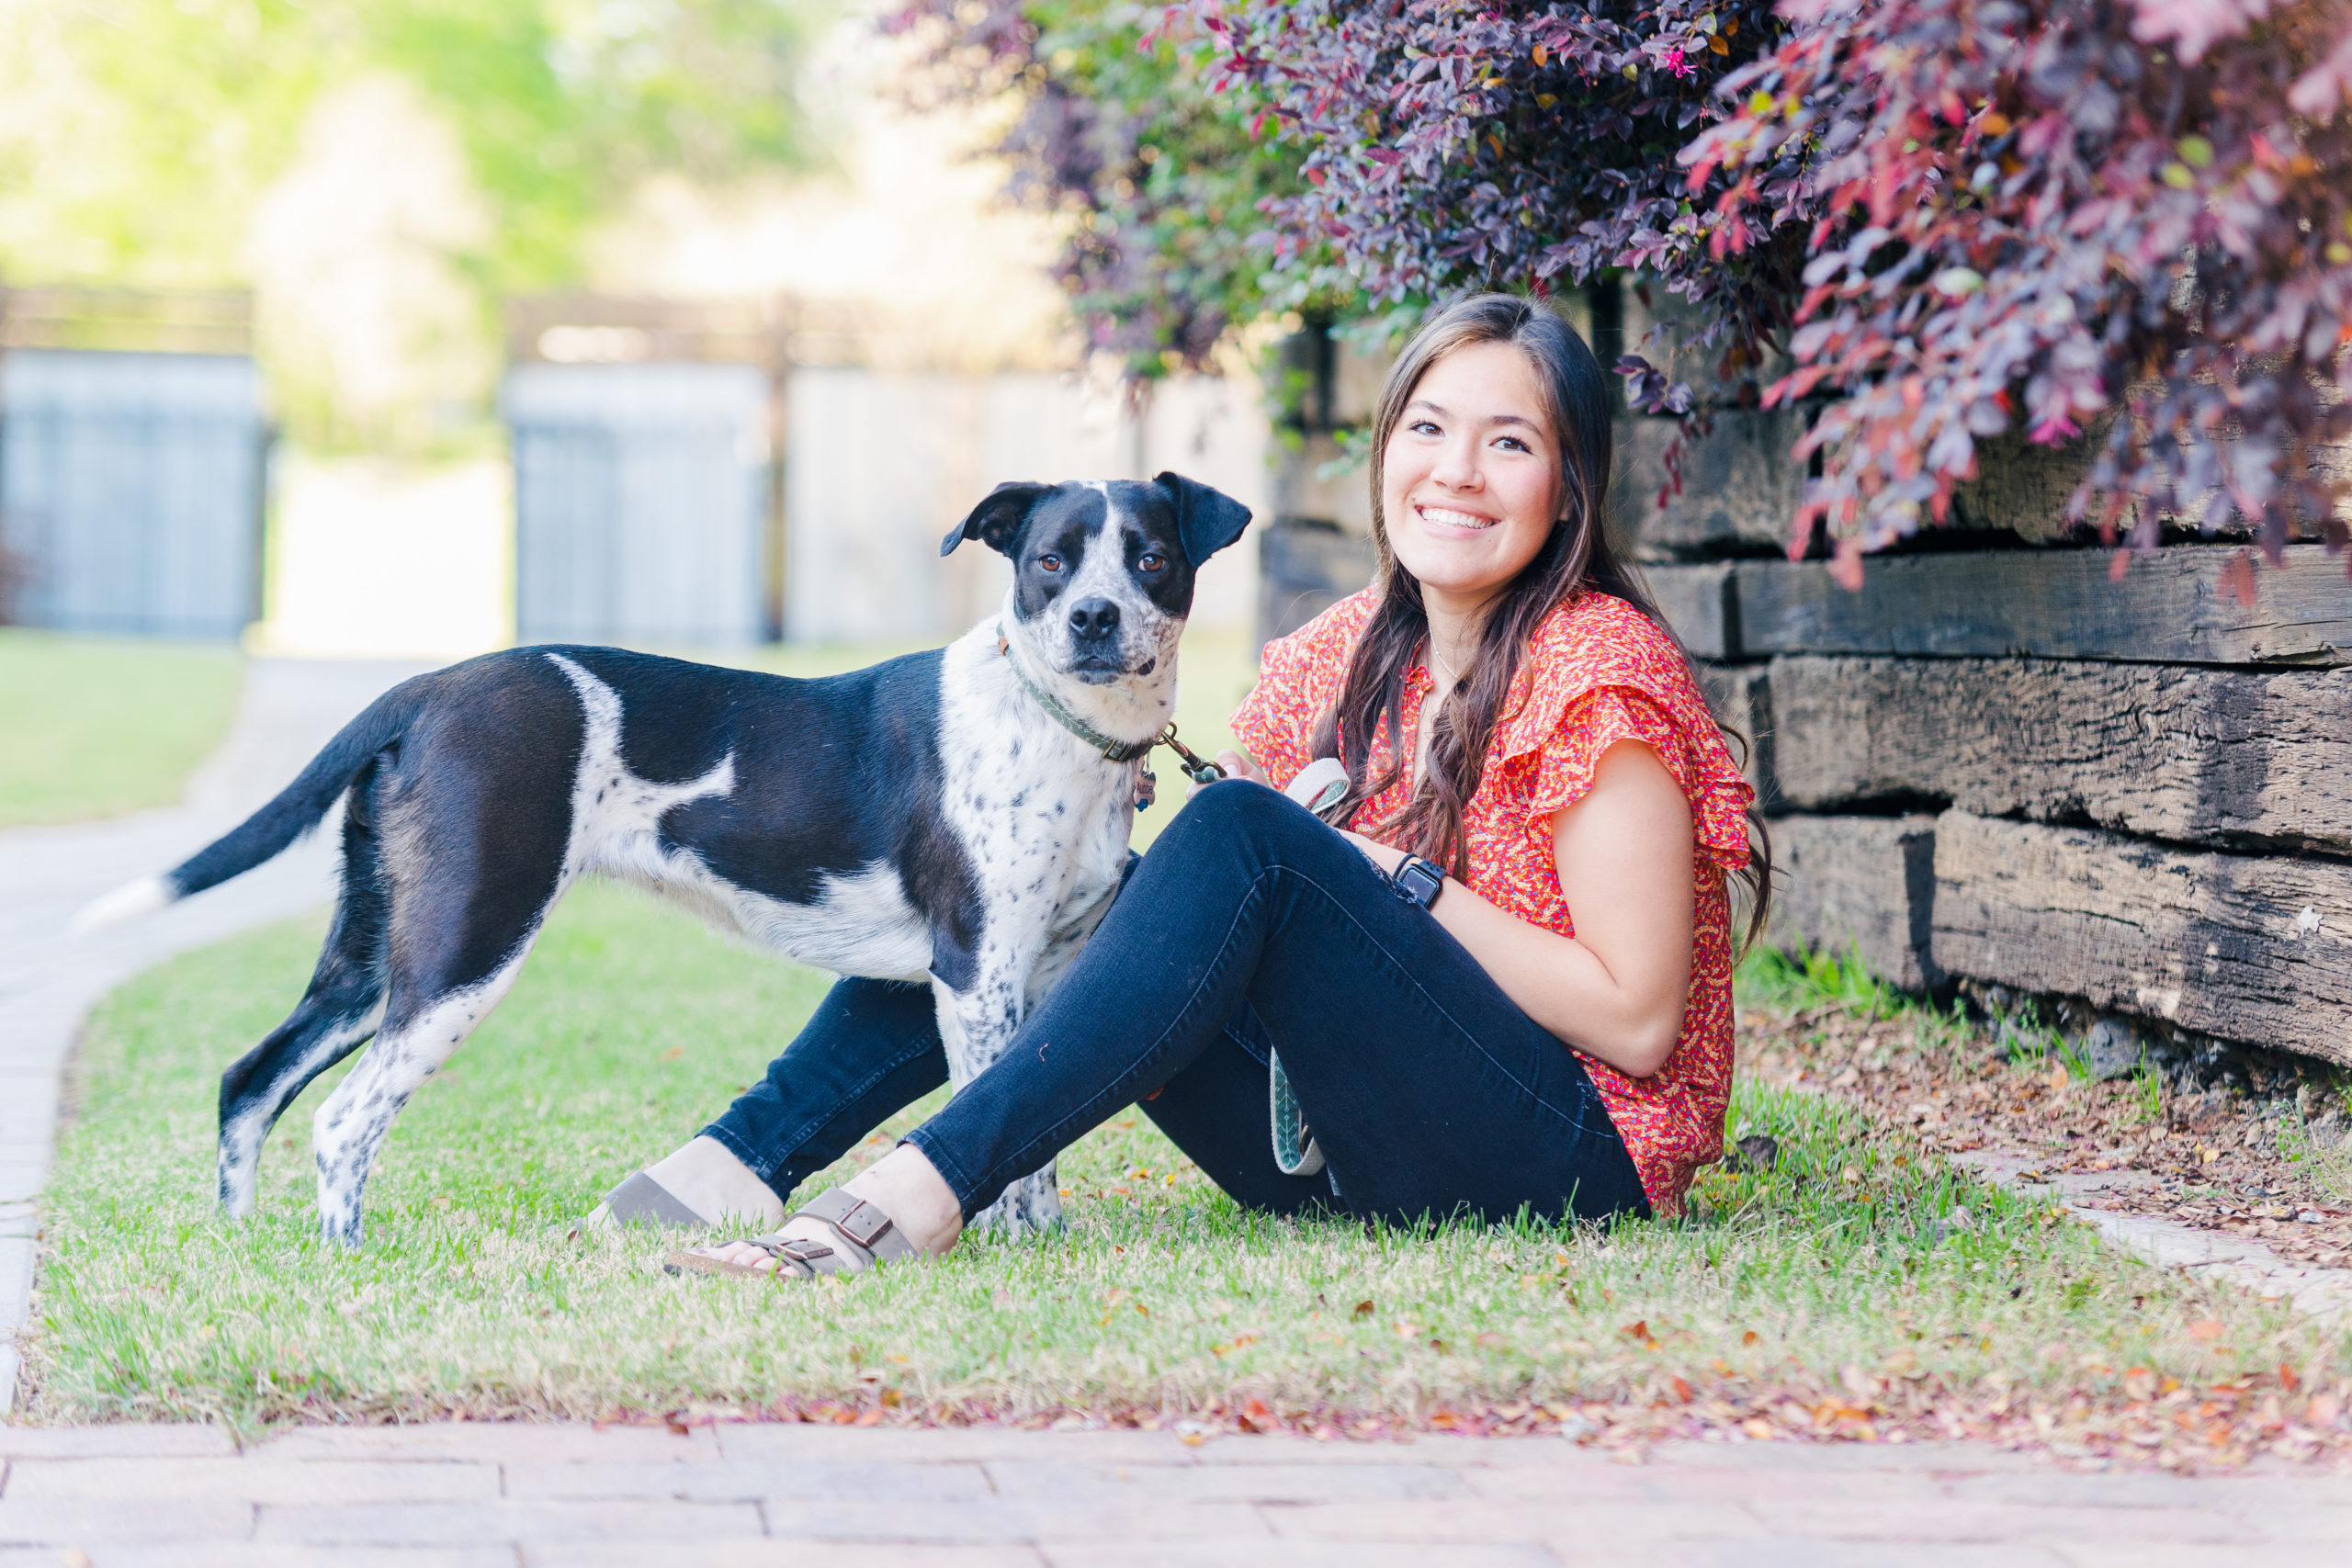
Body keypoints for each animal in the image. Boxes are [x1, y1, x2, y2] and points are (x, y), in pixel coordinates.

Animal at [78, 472, 1250, 1241]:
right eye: (1050, 560)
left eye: (1151, 558)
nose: (1094, 617)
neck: (1058, 725)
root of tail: (424, 689)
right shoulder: (974, 970)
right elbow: (999, 1118)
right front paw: (999, 1250)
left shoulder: (1049, 967)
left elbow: (1038, 1131)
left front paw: (1037, 1244)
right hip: (466, 944)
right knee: (339, 1119)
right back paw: (340, 1260)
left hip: (377, 951)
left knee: (251, 1080)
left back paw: (238, 1244)